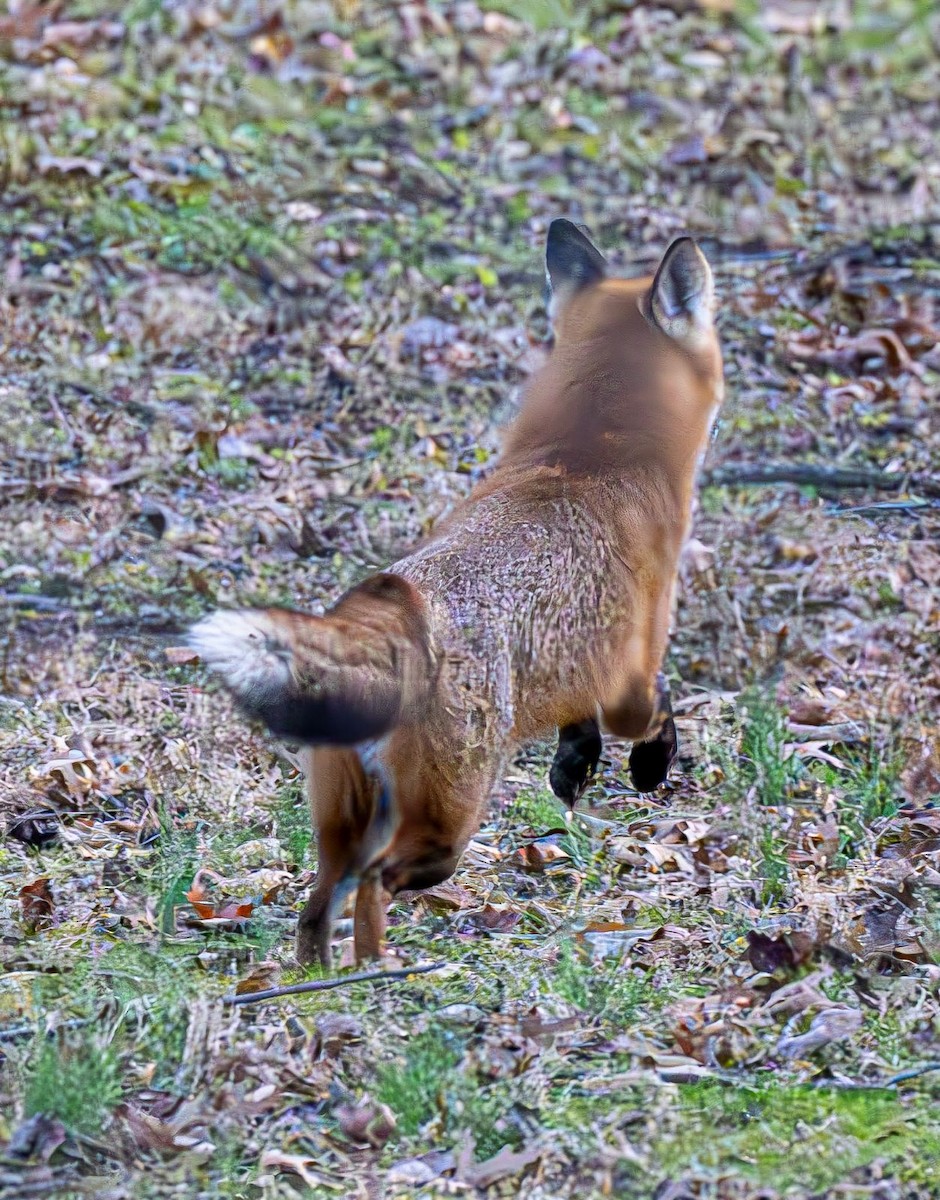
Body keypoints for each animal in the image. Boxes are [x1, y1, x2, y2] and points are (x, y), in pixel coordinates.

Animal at [189, 219, 724, 967]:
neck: (589, 453)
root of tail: (380, 610)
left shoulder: (574, 661)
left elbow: (577, 721)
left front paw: (573, 768)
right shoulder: (631, 667)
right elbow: (660, 706)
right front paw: (649, 766)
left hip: (340, 833)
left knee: (314, 913)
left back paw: (325, 984)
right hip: (446, 824)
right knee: (374, 890)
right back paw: (381, 976)